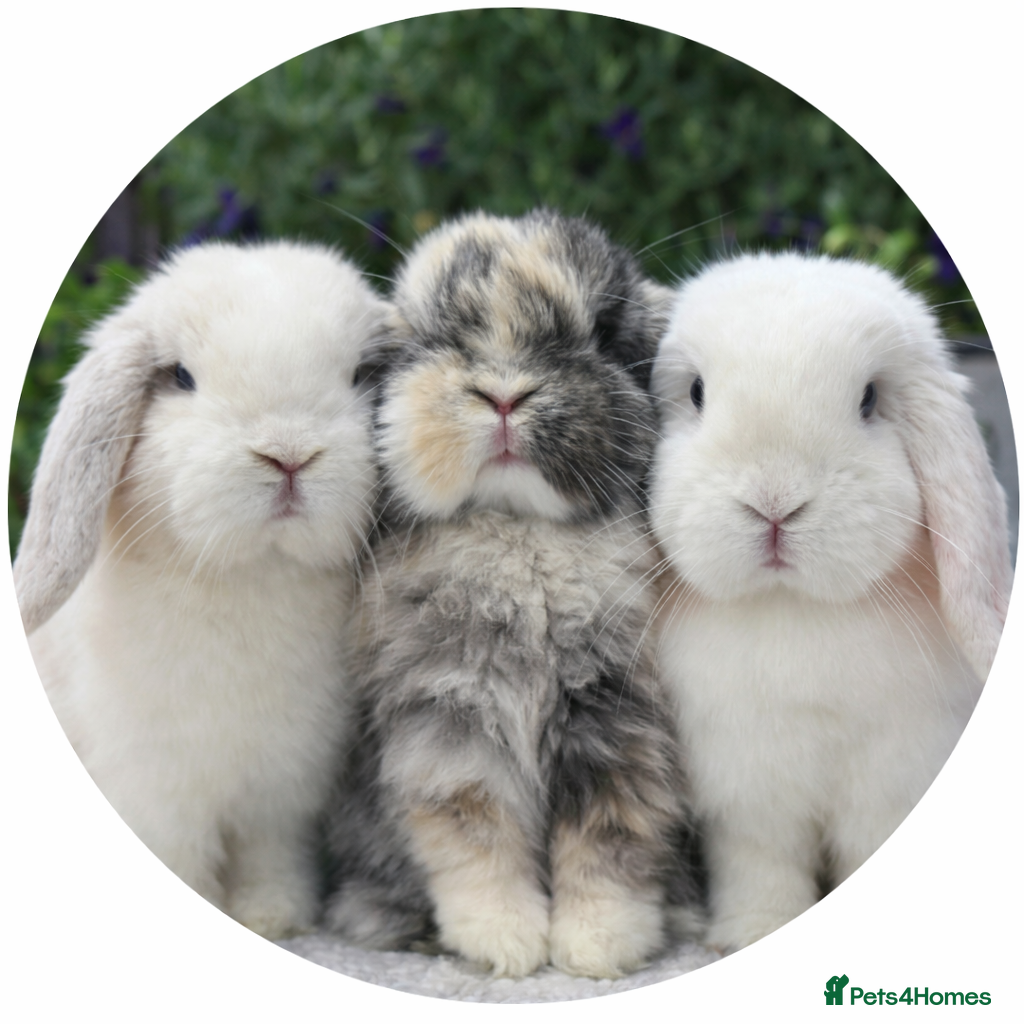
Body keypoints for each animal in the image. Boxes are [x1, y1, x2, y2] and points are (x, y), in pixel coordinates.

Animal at [14, 239, 390, 940]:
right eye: (182, 378)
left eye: (360, 375)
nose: (288, 455)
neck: (253, 577)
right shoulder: (157, 793)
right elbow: (180, 859)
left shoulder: (280, 797)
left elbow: (270, 857)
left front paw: (274, 918)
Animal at [322, 209, 705, 979]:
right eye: (433, 341)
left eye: (604, 333)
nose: (503, 394)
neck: (518, 531)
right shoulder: (447, 722)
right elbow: (474, 834)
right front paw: (507, 946)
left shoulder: (618, 724)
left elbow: (611, 835)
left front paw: (597, 950)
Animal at [648, 251, 1013, 952]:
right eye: (697, 392)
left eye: (868, 399)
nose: (774, 504)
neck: (794, 607)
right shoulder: (748, 793)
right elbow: (761, 867)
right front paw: (753, 932)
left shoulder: (890, 781)